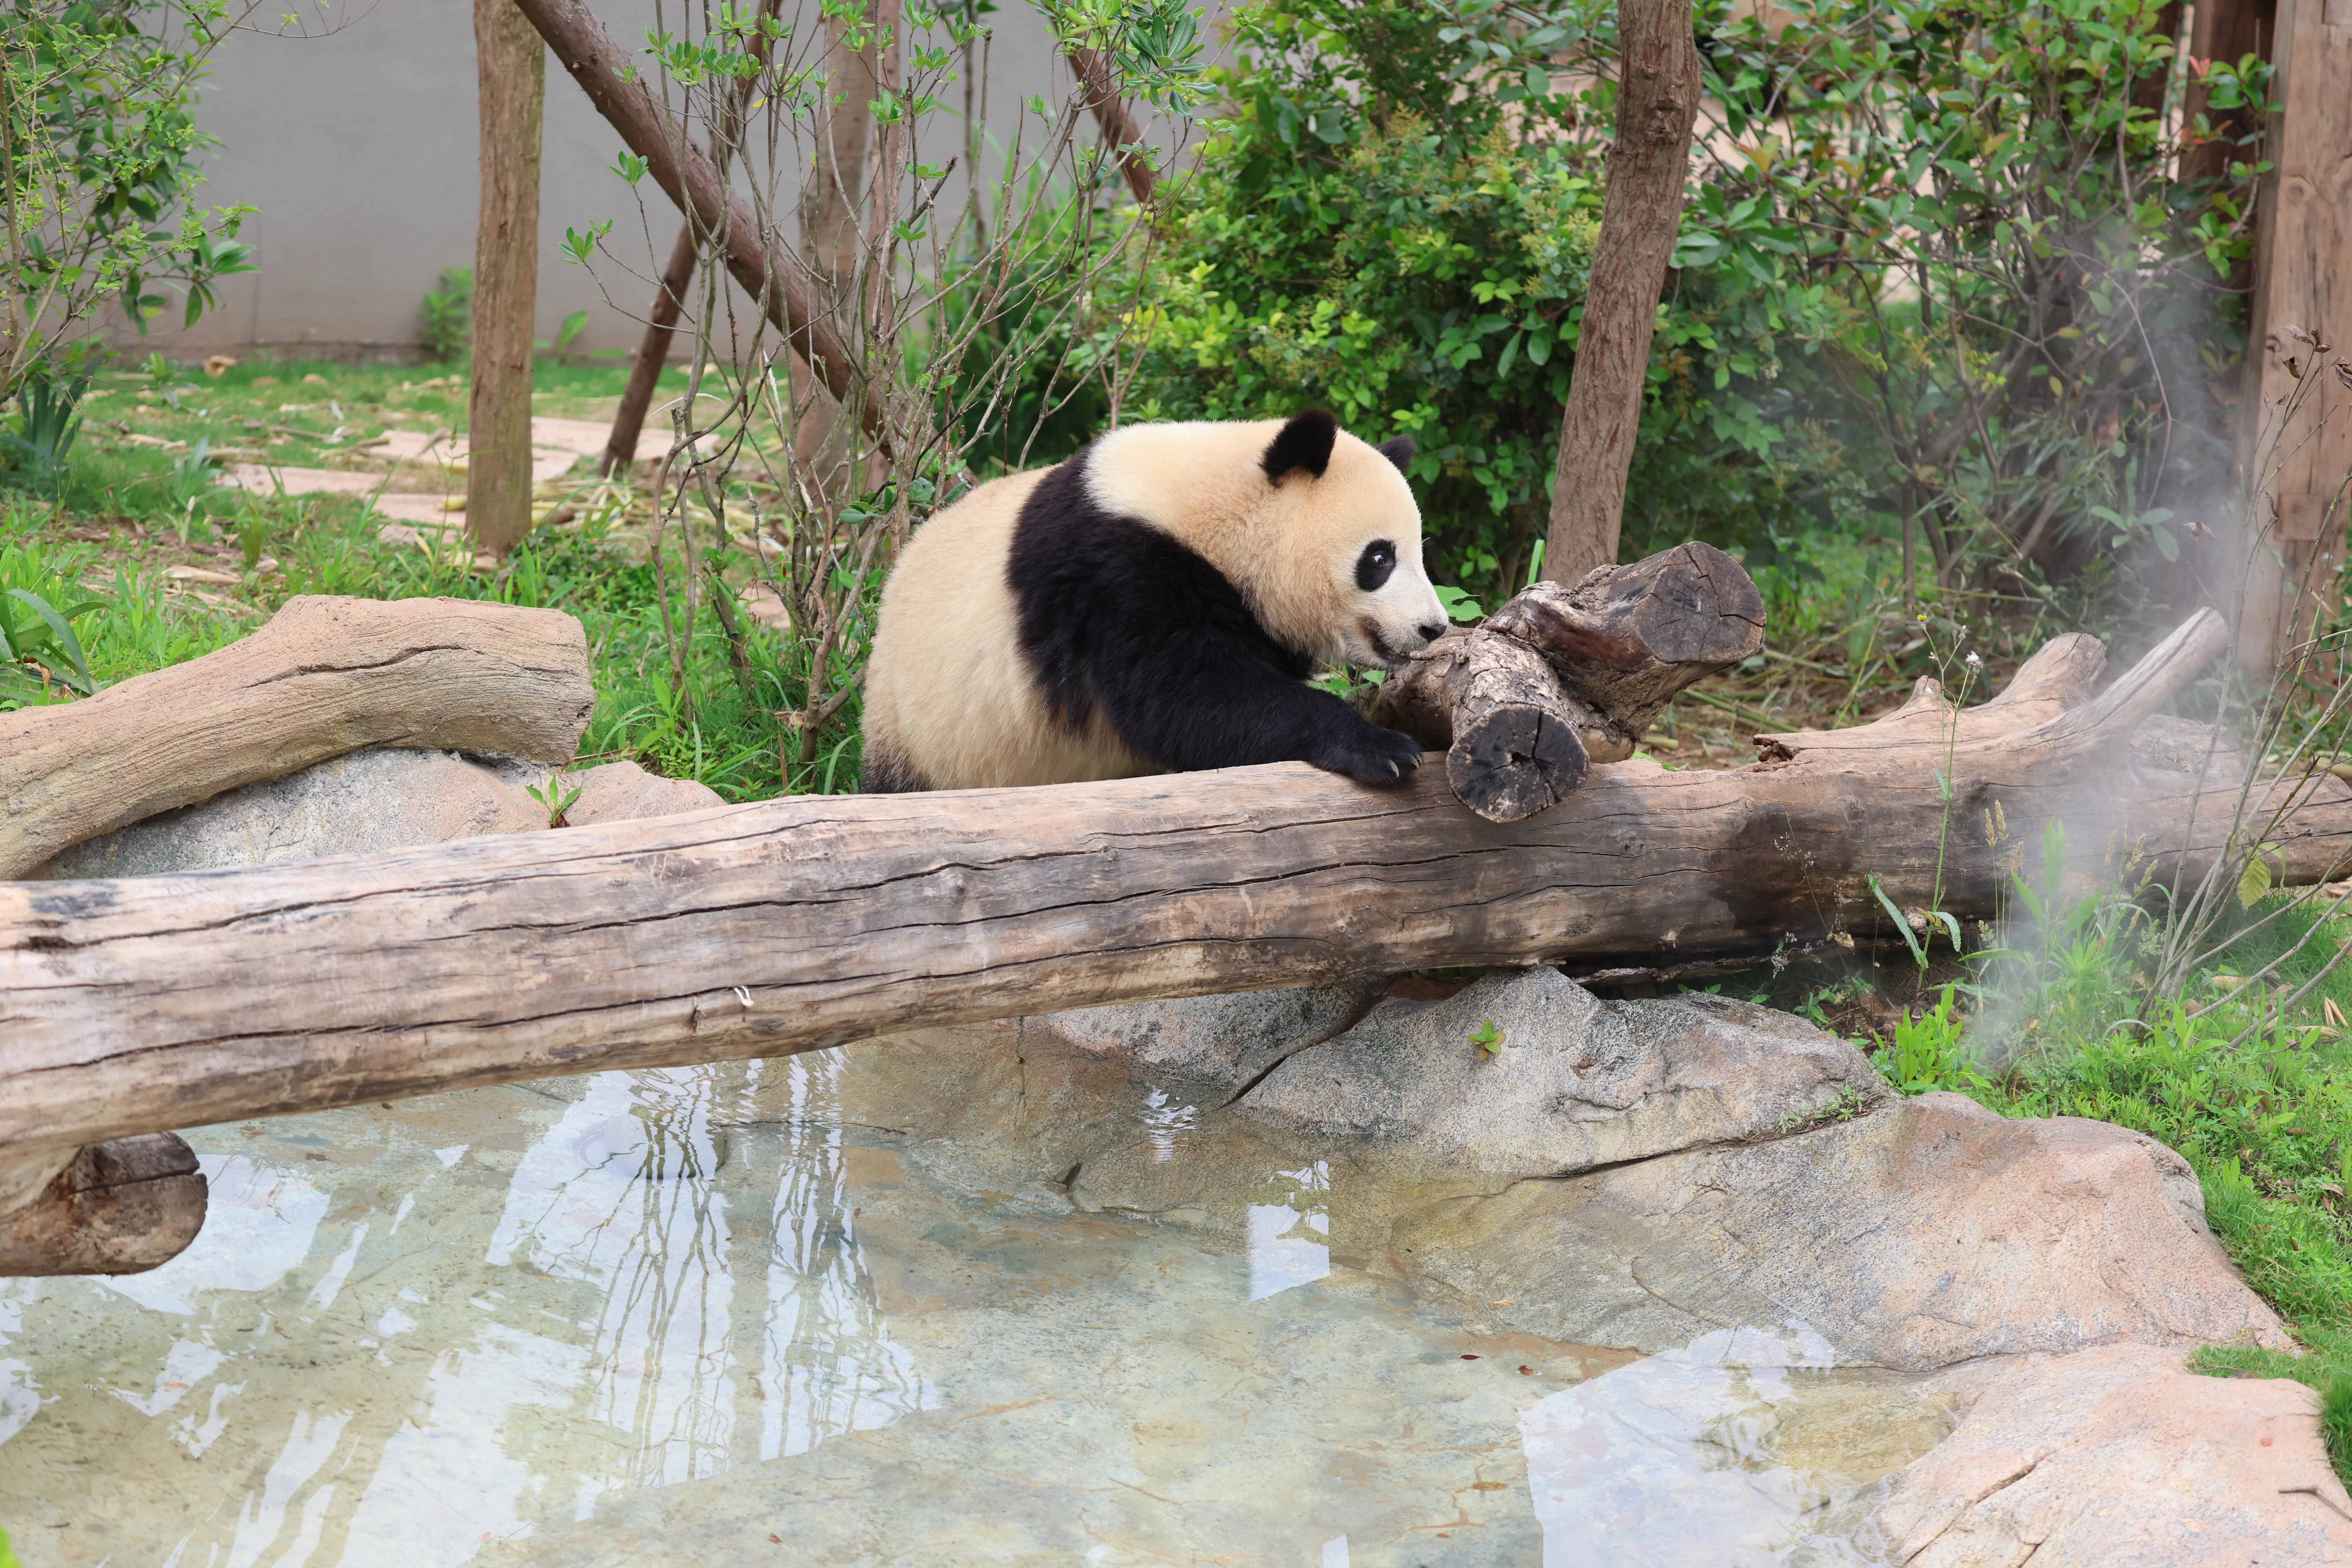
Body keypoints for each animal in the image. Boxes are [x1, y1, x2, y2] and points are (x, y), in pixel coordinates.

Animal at [860, 410, 1450, 793]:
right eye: (1380, 558)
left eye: (1417, 553)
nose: (1434, 628)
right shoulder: (1116, 573)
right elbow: (1191, 699)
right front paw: (1385, 749)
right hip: (925, 731)